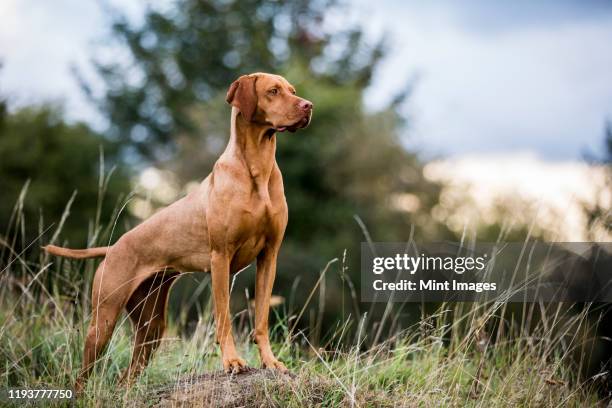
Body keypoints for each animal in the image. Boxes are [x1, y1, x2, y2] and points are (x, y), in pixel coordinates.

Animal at [42, 71, 314, 390]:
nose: (308, 106)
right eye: (273, 91)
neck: (257, 166)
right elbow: (223, 318)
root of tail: (113, 248)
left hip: (151, 327)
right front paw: (232, 362)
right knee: (83, 375)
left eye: (292, 91)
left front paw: (271, 362)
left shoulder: (269, 256)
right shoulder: (220, 258)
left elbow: (261, 320)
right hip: (103, 320)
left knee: (126, 376)